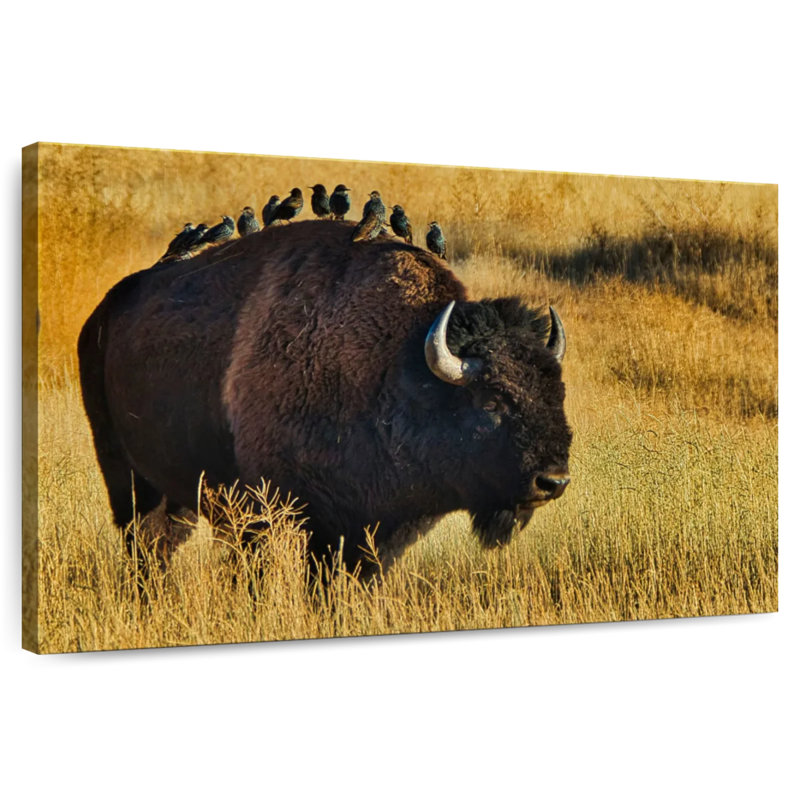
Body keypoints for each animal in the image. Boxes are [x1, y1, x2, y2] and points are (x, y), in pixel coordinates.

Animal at [78, 220, 572, 577]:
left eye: (556, 392)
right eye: (490, 402)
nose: (553, 481)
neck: (395, 365)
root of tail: (104, 311)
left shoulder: (372, 529)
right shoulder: (274, 515)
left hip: (173, 488)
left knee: (163, 540)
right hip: (121, 471)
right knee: (142, 539)